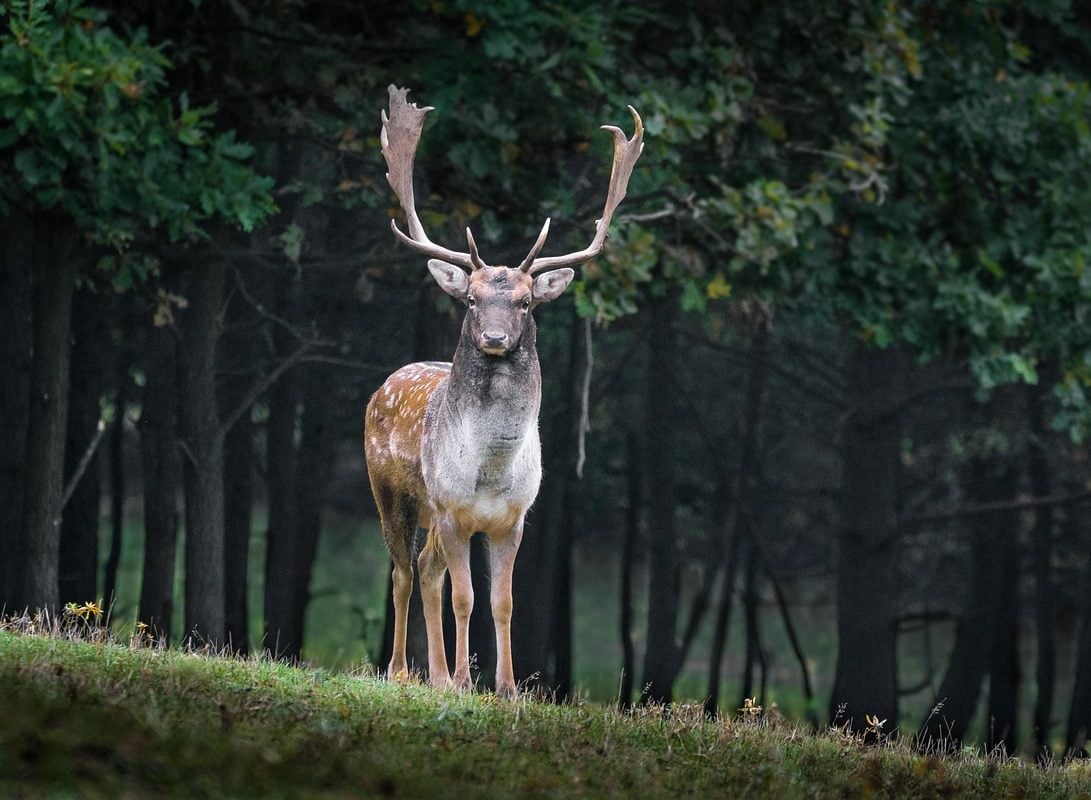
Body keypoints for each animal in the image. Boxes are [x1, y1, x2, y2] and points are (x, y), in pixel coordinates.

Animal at [366, 85, 641, 694]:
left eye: (525, 302)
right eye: (471, 298)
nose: (493, 337)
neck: (491, 471)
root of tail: (384, 384)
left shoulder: (513, 518)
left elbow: (503, 602)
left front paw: (507, 687)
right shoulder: (452, 510)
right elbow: (465, 598)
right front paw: (466, 681)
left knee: (425, 571)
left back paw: (435, 675)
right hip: (391, 492)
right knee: (402, 572)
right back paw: (402, 672)